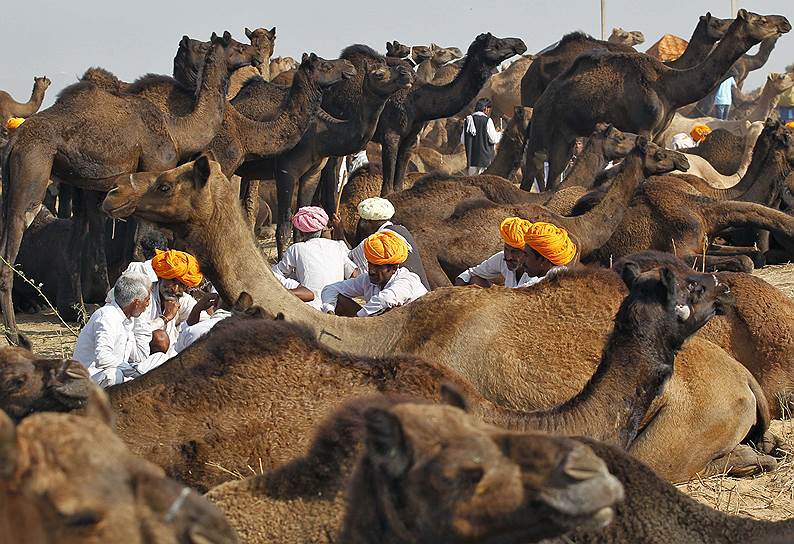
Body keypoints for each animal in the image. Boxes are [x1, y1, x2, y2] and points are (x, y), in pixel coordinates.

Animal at [520, 8, 784, 191]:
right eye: (761, 20)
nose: (784, 21)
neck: (670, 86)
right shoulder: (644, 127)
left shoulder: (659, 132)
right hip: (542, 122)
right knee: (533, 164)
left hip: (565, 135)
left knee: (554, 169)